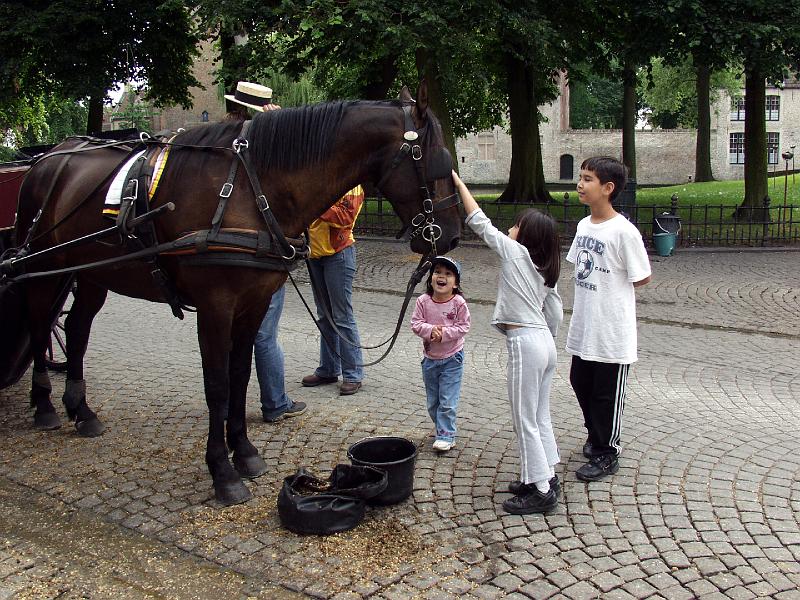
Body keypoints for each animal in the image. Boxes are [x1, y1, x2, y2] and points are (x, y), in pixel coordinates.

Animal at [2, 82, 461, 505]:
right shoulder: (215, 307)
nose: (452, 236)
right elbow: (218, 385)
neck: (249, 188)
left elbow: (241, 374)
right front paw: (222, 472)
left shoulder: (253, 304)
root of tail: (47, 158)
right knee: (40, 324)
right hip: (44, 269)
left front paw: (245, 453)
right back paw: (44, 405)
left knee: (77, 330)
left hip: (93, 274)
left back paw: (81, 411)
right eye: (438, 162)